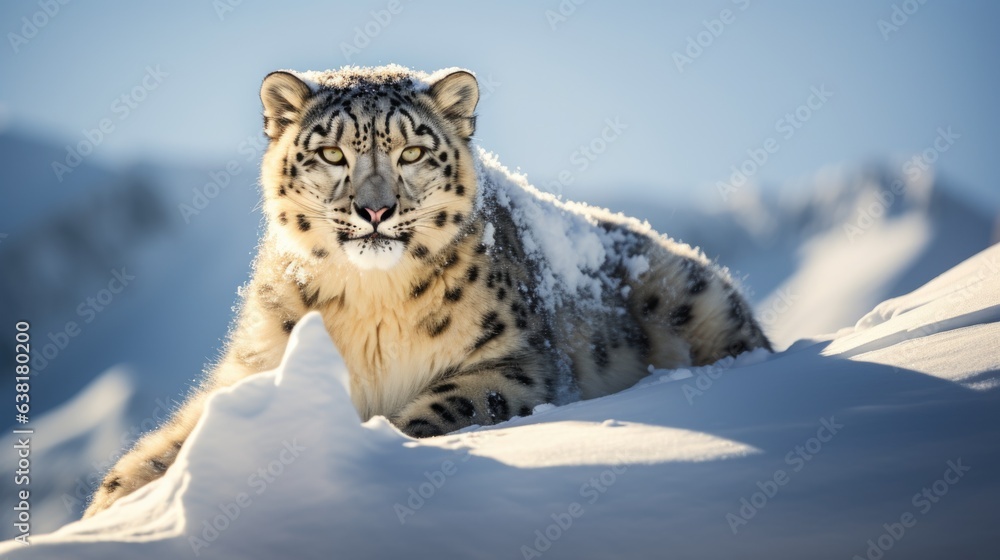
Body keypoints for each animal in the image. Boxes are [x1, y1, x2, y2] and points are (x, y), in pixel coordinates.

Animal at [85, 64, 770, 517]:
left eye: (413, 151)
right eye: (331, 154)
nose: (375, 210)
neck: (369, 306)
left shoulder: (519, 362)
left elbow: (447, 408)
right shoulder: (252, 372)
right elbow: (152, 458)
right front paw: (112, 511)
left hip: (688, 290)